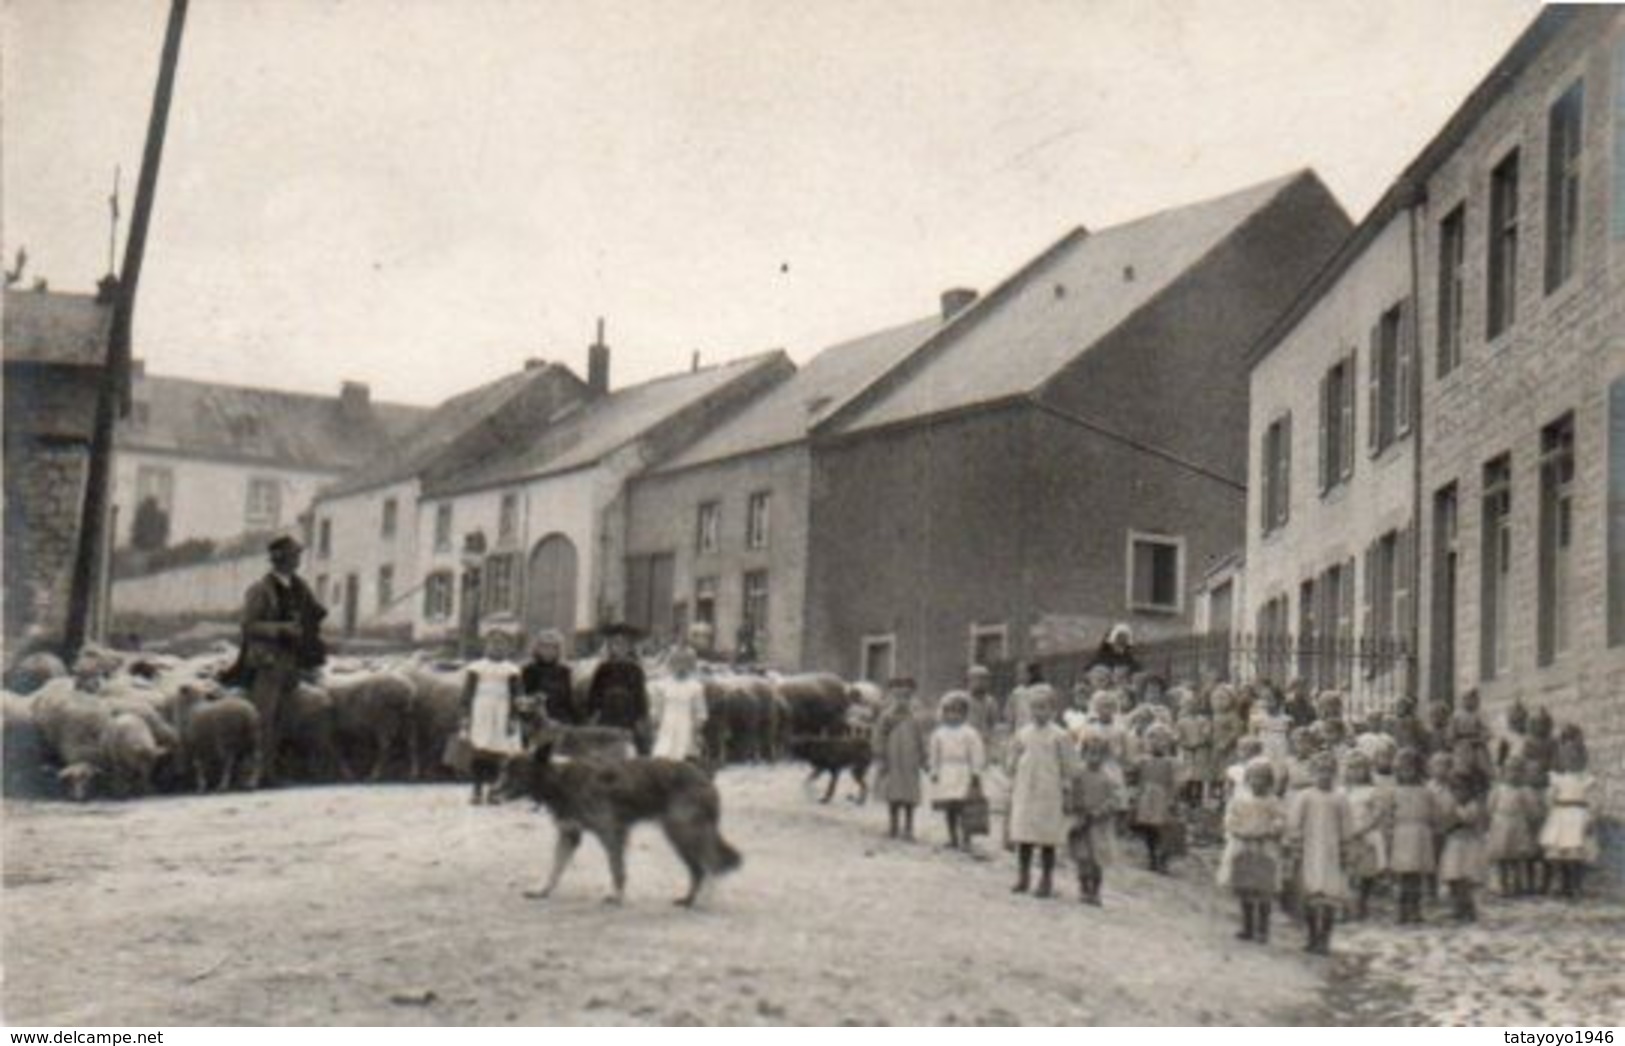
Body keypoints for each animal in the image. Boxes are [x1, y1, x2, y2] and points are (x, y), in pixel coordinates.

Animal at [500, 740, 744, 903]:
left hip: (685, 831)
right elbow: (555, 868)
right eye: (505, 771)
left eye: (515, 773)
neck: (560, 779)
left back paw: (704, 898)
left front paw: (616, 895)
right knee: (698, 870)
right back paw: (689, 899)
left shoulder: (612, 833)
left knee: (709, 863)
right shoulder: (569, 835)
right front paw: (542, 890)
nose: (495, 792)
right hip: (678, 835)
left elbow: (616, 868)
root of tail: (704, 774)